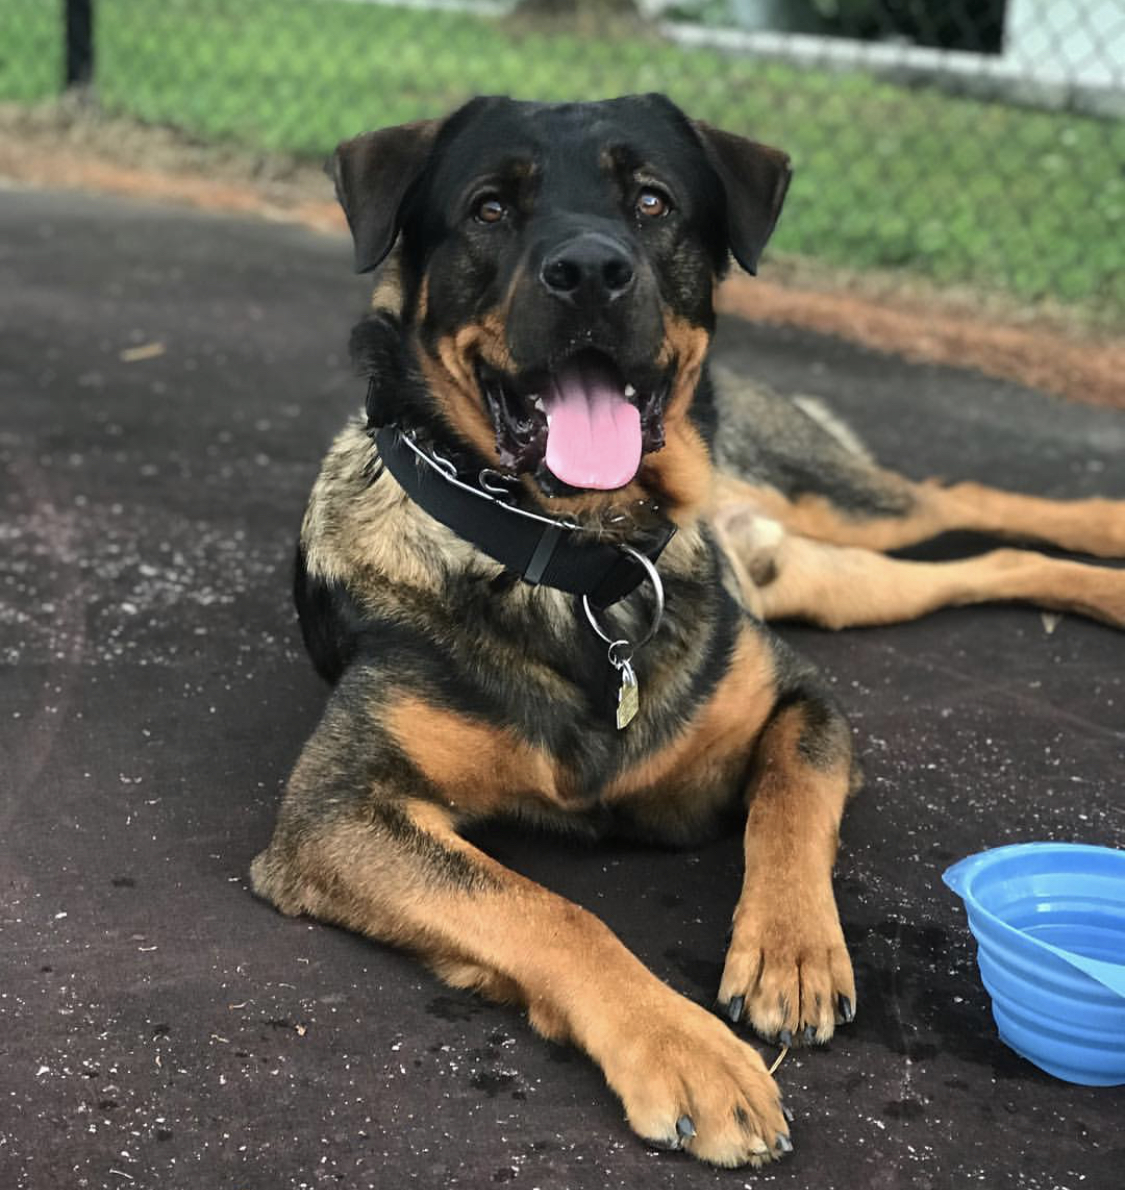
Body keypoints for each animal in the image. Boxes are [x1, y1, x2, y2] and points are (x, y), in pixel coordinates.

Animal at [252, 95, 1123, 1170]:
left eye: (653, 202)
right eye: (489, 208)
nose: (590, 271)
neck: (590, 558)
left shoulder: (801, 701)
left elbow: (788, 801)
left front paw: (791, 950)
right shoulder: (335, 817)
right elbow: (548, 909)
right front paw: (687, 1049)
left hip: (837, 515)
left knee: (959, 501)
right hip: (834, 580)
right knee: (981, 561)